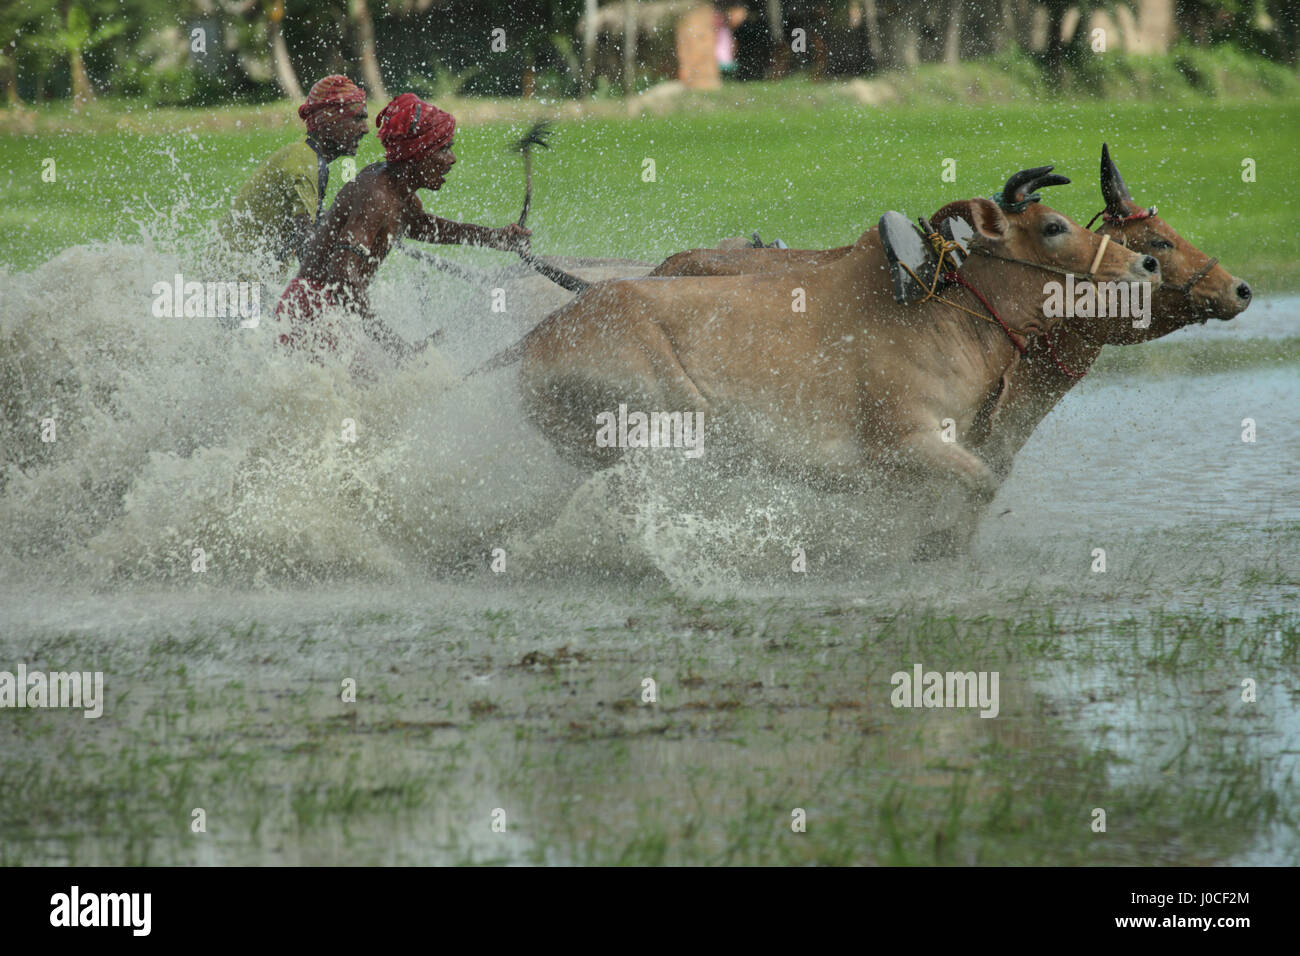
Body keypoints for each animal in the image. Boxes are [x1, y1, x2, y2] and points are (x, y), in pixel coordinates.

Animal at [517, 166, 1159, 522]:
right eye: (1053, 227)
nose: (1146, 263)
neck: (939, 318)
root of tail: (531, 345)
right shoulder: (905, 442)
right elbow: (980, 484)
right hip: (668, 406)